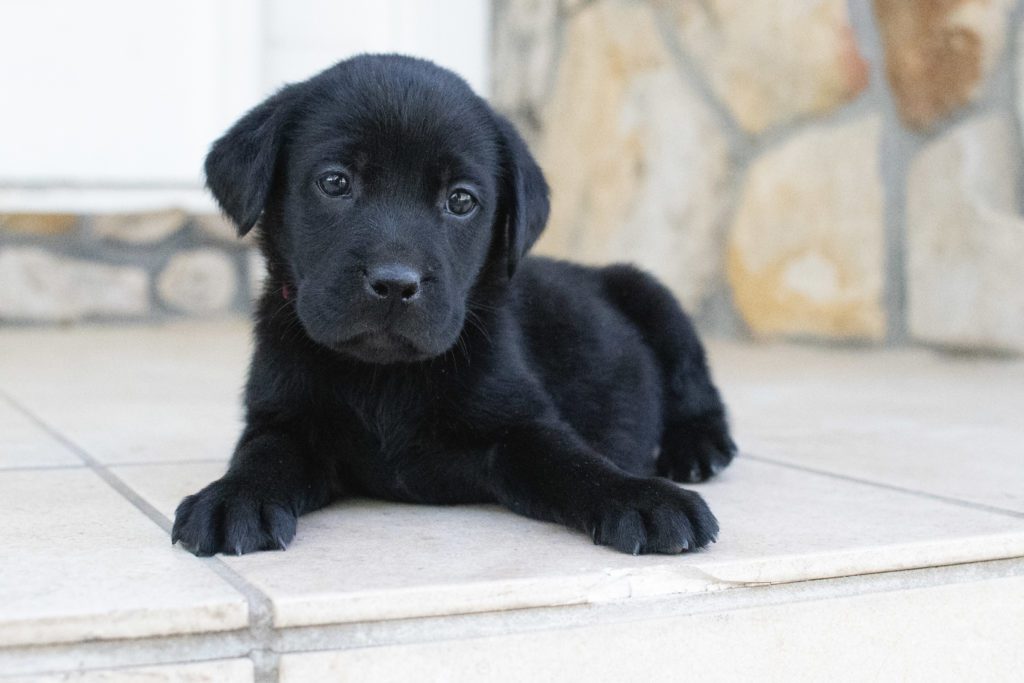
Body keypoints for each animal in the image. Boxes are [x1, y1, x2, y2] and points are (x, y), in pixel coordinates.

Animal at [174, 52, 737, 557]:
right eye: (334, 182)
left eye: (461, 200)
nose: (395, 284)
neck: (385, 379)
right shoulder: (284, 421)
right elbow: (261, 457)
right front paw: (233, 498)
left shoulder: (522, 426)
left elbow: (578, 464)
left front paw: (641, 497)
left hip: (652, 296)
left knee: (696, 388)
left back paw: (696, 449)